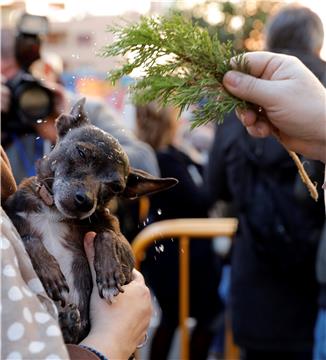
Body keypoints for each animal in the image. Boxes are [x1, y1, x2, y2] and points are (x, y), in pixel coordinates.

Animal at [3, 97, 177, 344]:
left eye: (116, 188)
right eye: (82, 152)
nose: (86, 201)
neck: (53, 212)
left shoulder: (126, 251)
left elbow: (106, 234)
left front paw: (109, 273)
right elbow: (29, 238)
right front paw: (51, 272)